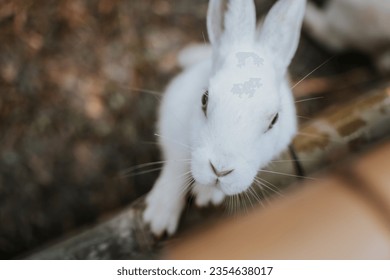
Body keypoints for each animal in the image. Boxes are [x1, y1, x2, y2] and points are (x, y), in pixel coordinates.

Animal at [143, 0, 308, 236]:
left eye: (274, 120)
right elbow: (175, 166)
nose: (220, 171)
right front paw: (158, 218)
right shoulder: (171, 126)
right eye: (204, 99)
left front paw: (206, 194)